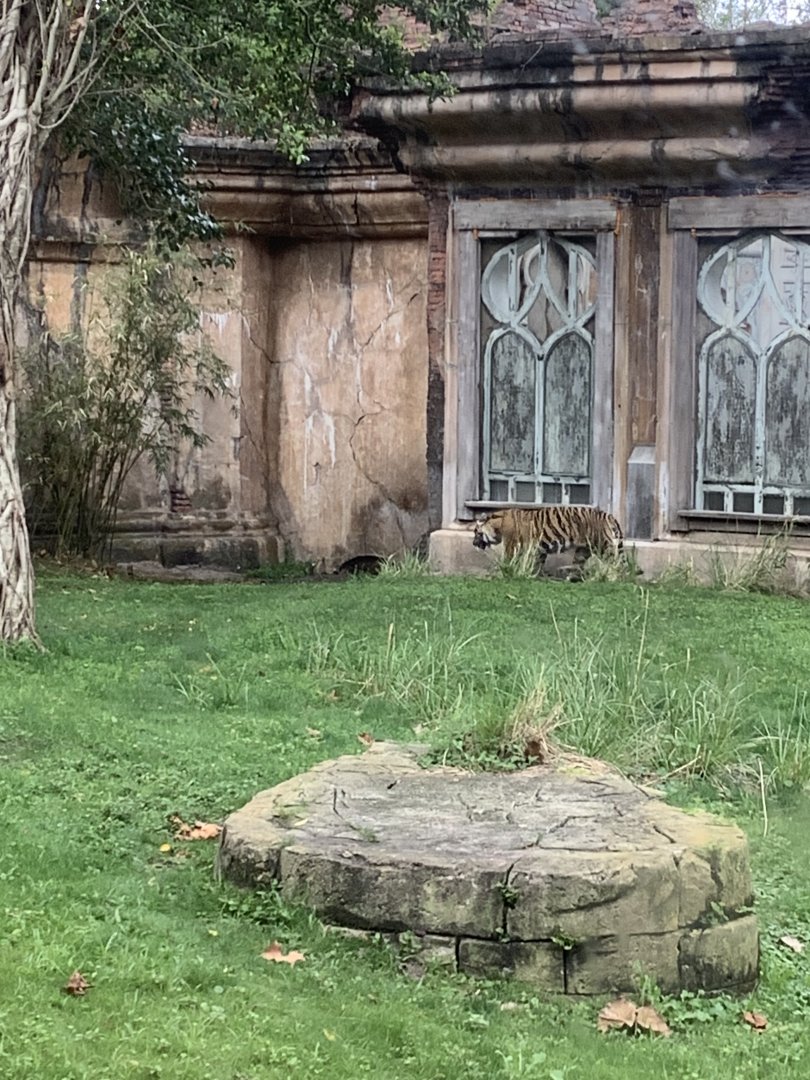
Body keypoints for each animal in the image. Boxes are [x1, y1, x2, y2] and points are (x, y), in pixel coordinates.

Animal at [472, 506, 624, 575]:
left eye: (476, 532)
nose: (473, 544)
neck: (497, 524)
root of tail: (608, 515)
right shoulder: (539, 549)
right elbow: (538, 563)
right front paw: (535, 574)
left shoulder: (511, 545)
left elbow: (508, 560)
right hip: (583, 549)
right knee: (578, 565)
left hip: (603, 547)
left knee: (615, 564)